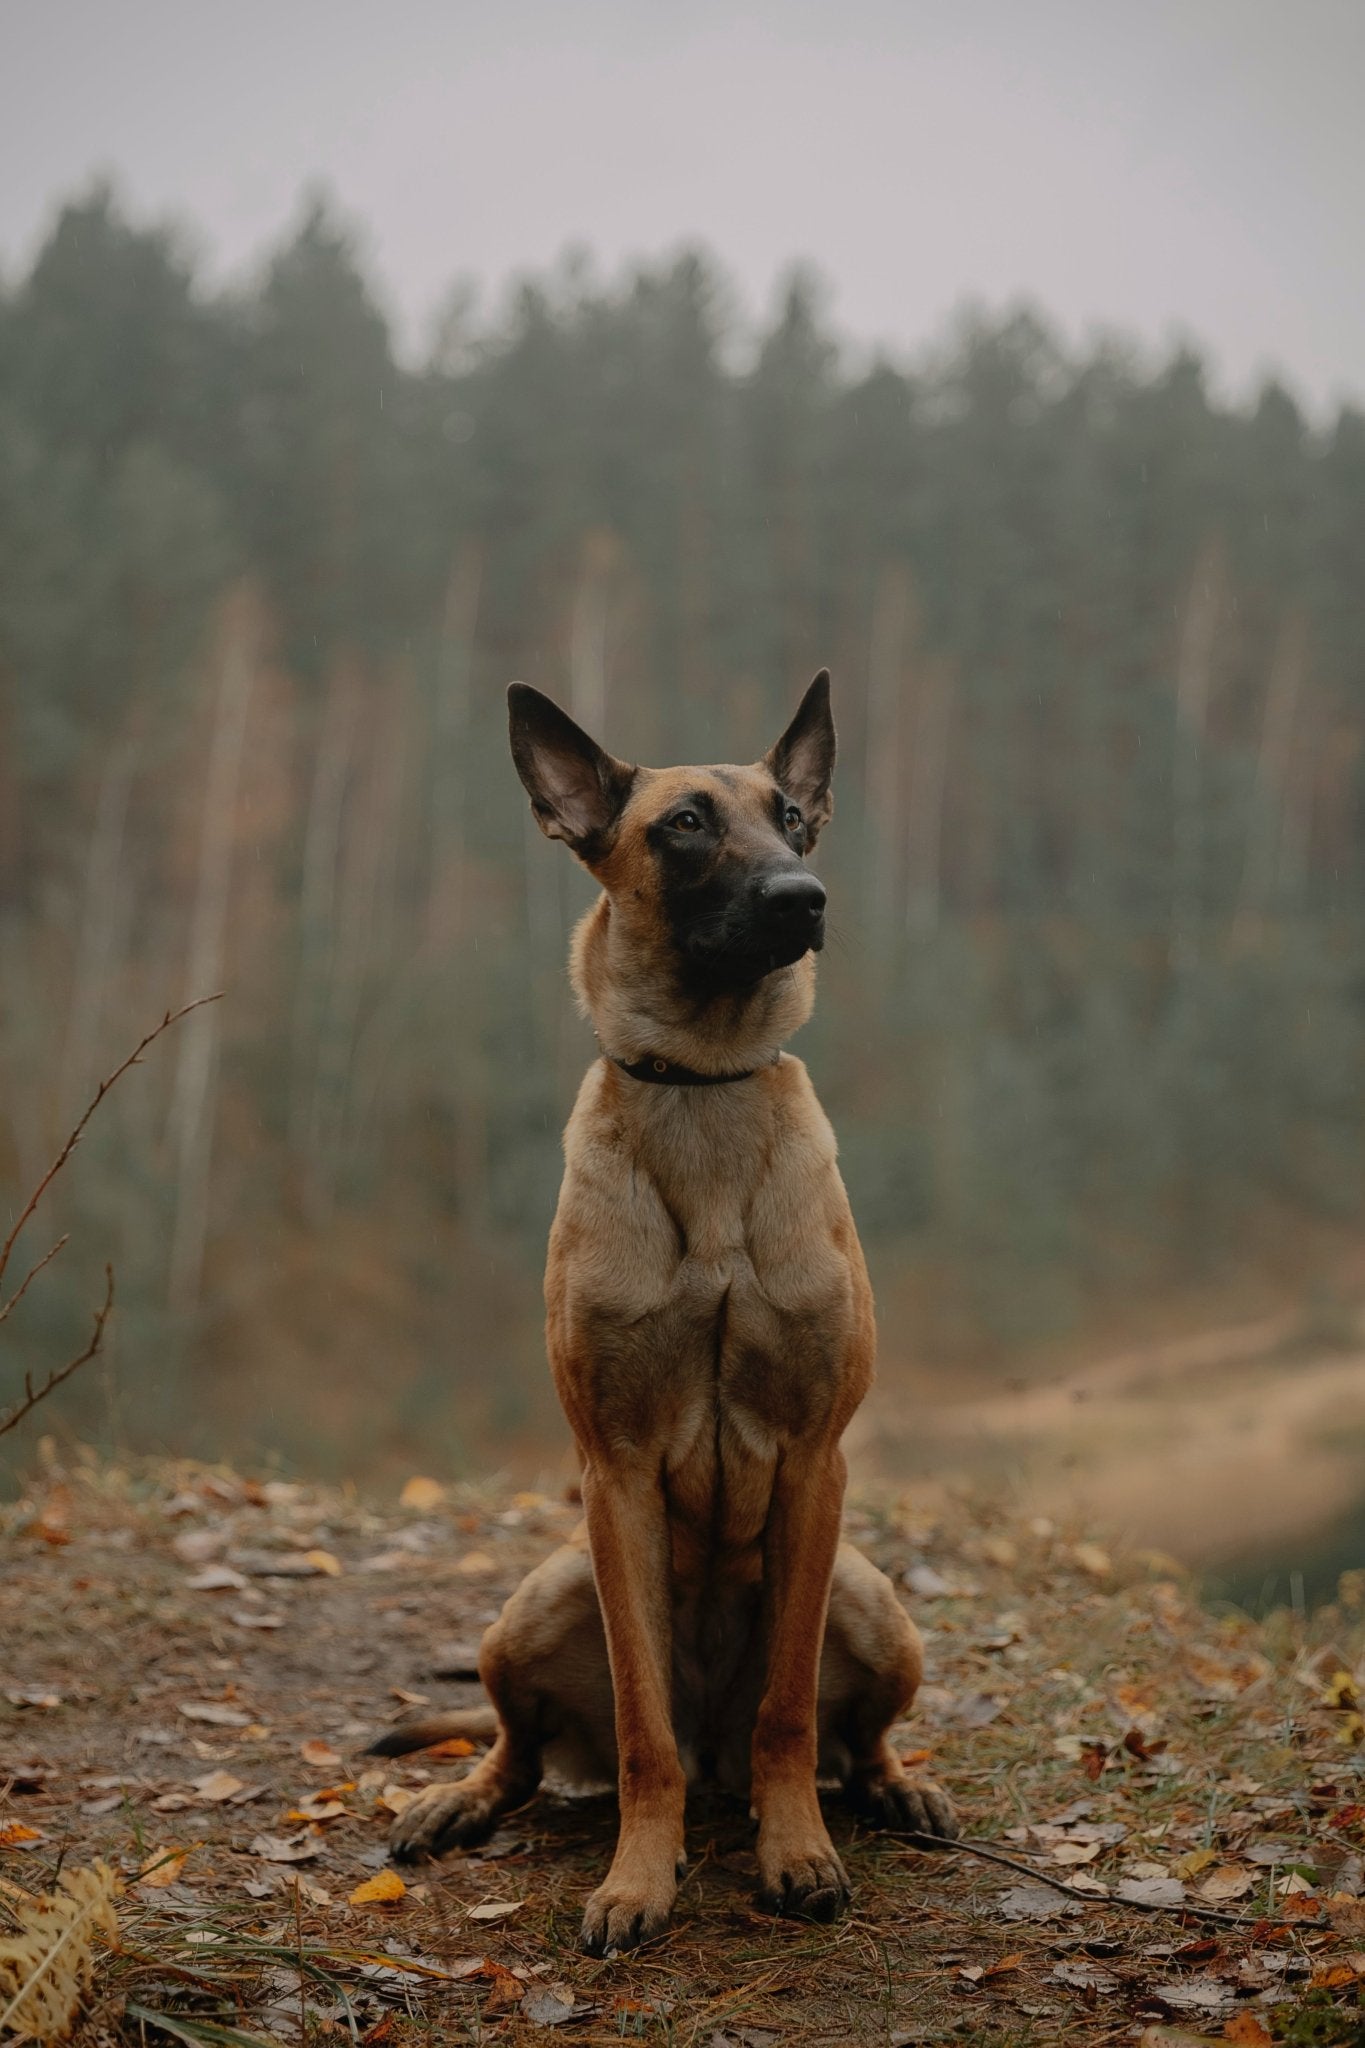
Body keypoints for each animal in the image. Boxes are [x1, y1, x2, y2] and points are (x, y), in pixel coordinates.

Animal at [368, 671, 957, 1949]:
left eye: (792, 817)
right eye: (684, 824)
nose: (804, 895)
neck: (704, 1089)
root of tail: (715, 1753)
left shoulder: (814, 1463)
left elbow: (792, 1704)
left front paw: (796, 1851)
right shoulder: (618, 1473)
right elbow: (643, 1728)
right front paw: (641, 1874)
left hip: (871, 1597)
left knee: (853, 1736)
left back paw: (889, 1789)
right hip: (540, 1599)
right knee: (523, 1749)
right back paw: (460, 1800)